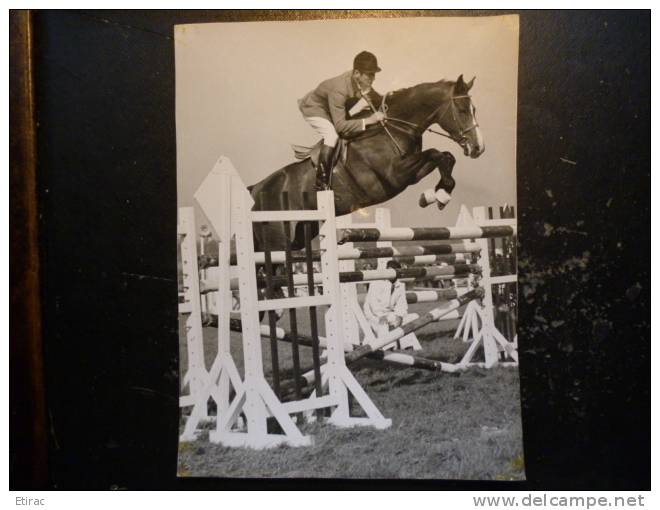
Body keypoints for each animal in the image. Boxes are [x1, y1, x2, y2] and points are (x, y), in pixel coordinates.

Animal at [248, 74, 484, 253]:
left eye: (474, 110)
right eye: (462, 110)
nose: (478, 148)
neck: (392, 128)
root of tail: (254, 189)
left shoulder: (411, 173)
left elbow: (445, 157)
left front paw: (434, 195)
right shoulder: (396, 175)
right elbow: (437, 154)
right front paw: (440, 196)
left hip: (300, 234)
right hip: (278, 243)